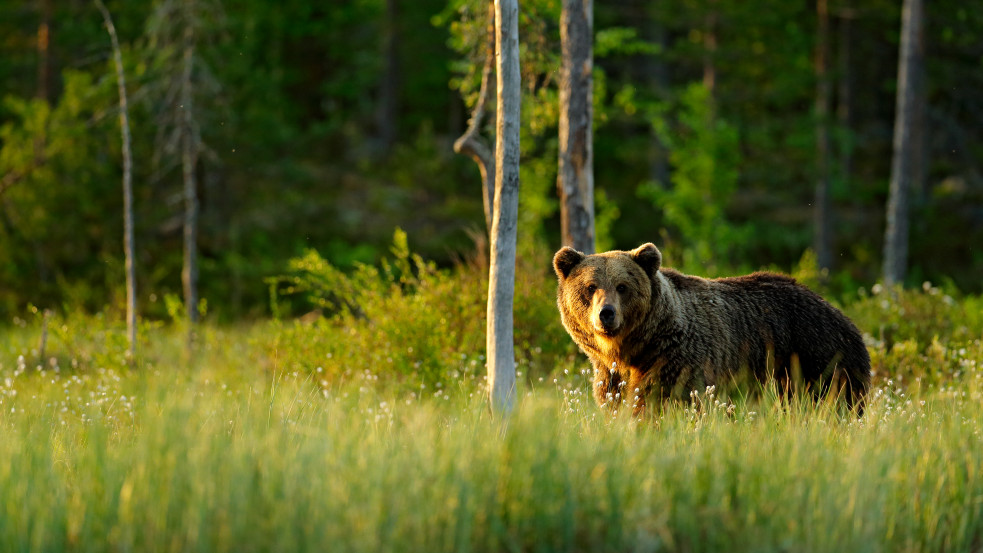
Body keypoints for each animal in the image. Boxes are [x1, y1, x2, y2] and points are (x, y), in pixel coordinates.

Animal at [552, 242, 868, 414]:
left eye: (622, 286)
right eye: (590, 286)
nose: (606, 314)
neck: (636, 348)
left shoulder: (676, 362)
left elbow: (657, 403)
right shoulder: (611, 375)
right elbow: (615, 402)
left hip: (816, 359)